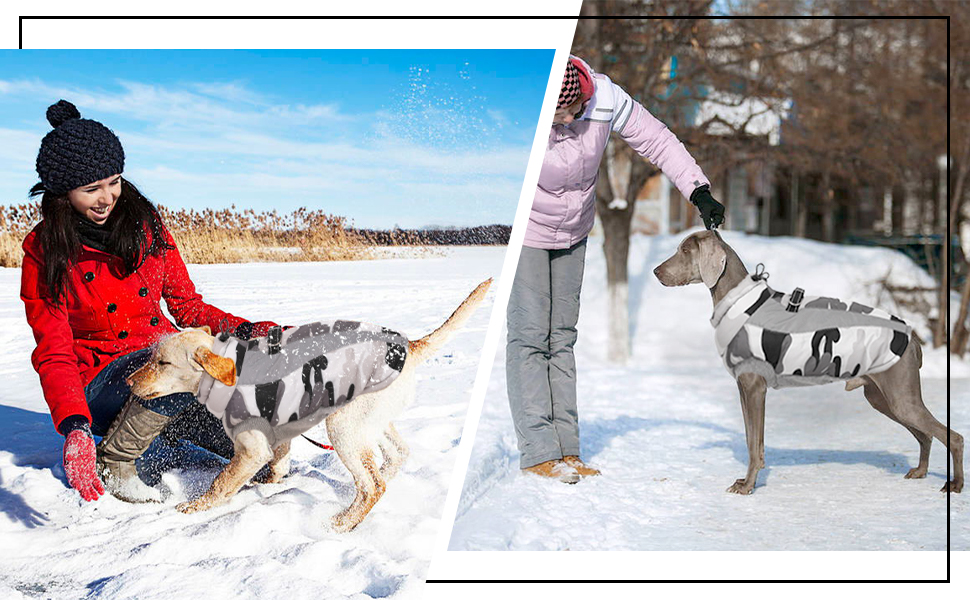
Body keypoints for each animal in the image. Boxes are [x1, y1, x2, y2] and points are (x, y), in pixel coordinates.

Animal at [126, 278, 492, 532]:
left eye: (162, 363)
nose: (128, 382)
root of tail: (406, 347)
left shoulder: (251, 448)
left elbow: (221, 482)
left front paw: (195, 508)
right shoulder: (280, 437)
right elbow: (276, 468)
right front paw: (268, 487)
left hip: (343, 427)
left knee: (372, 486)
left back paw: (339, 524)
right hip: (369, 424)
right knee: (394, 458)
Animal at [652, 230, 960, 496]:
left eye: (684, 250)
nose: (655, 272)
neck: (739, 301)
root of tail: (913, 337)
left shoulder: (754, 388)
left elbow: (754, 444)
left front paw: (748, 486)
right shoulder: (743, 389)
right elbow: (752, 438)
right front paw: (747, 480)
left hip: (900, 397)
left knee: (952, 437)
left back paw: (954, 485)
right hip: (881, 397)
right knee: (926, 436)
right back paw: (920, 471)